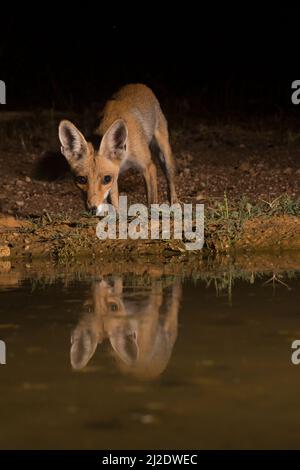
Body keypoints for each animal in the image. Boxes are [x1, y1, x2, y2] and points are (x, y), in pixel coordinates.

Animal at [57, 84, 177, 215]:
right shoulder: (114, 176)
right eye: (81, 179)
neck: (124, 158)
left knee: (170, 179)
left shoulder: (148, 167)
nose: (92, 209)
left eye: (106, 179)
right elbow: (114, 203)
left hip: (164, 153)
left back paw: (175, 202)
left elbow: (152, 200)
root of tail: (137, 84)